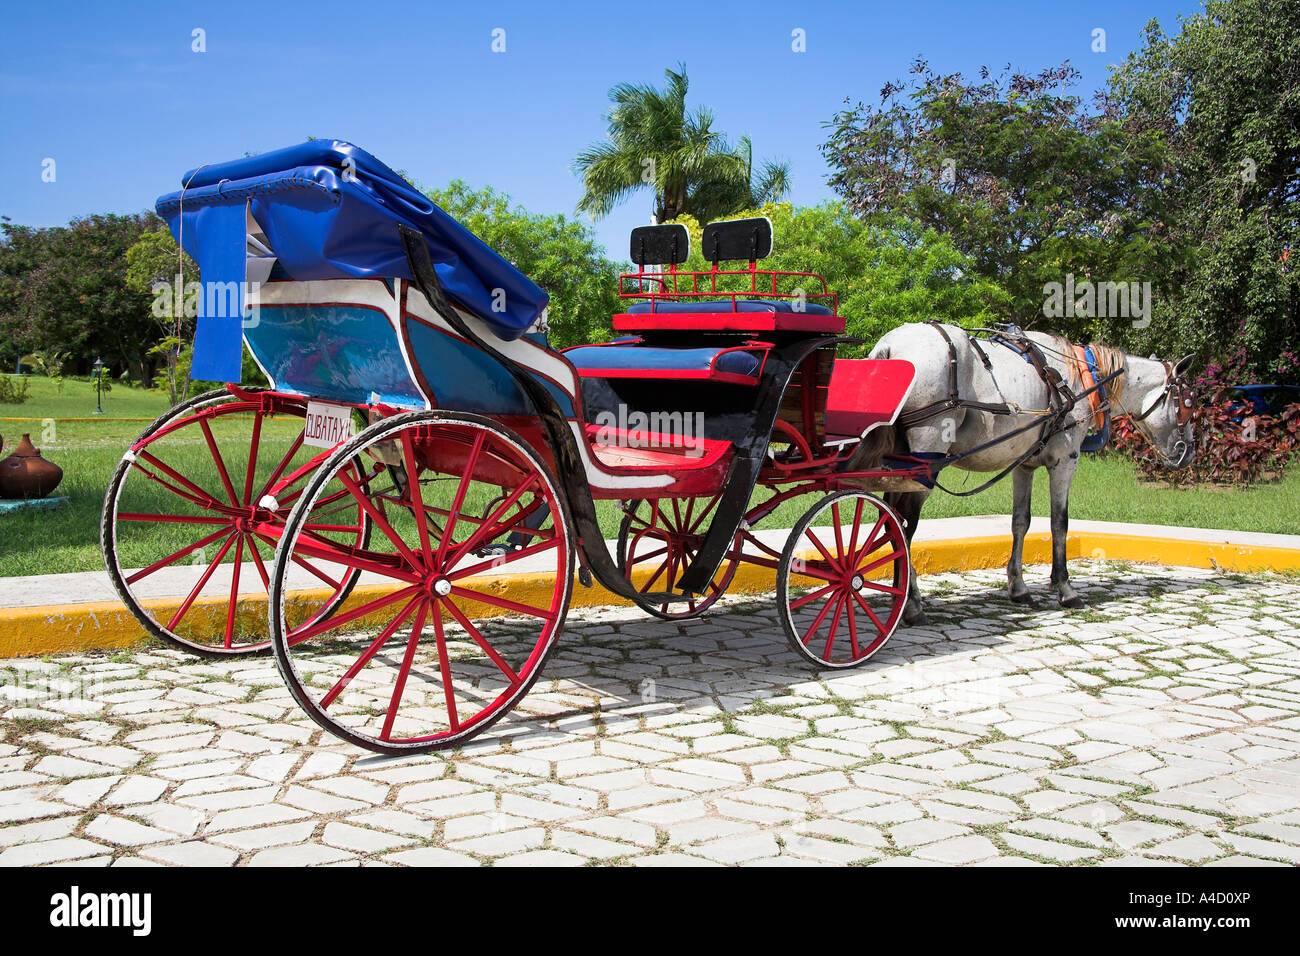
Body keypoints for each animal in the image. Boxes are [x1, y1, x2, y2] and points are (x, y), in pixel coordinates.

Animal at [868, 325, 1190, 624]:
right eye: (1188, 403)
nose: (1187, 453)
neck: (1082, 375)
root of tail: (889, 346)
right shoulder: (1065, 460)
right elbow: (1059, 523)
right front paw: (1065, 588)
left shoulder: (1024, 465)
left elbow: (1021, 521)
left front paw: (1019, 587)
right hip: (927, 457)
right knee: (904, 526)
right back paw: (911, 604)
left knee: (890, 521)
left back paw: (901, 594)